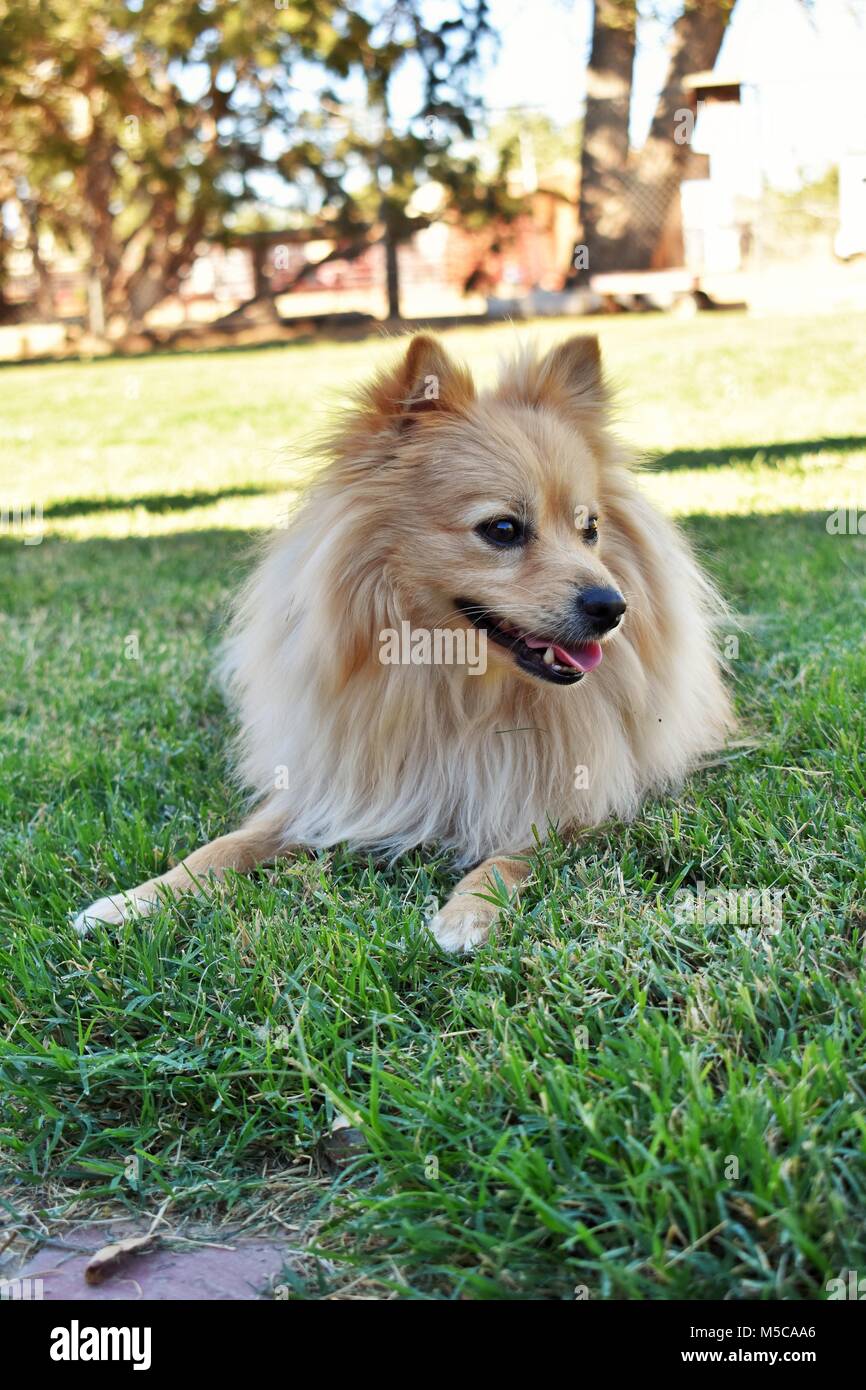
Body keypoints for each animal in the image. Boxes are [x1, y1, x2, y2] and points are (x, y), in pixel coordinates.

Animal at [77, 330, 733, 950]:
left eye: (590, 529)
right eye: (502, 529)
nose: (612, 606)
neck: (461, 688)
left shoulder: (571, 803)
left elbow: (512, 856)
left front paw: (469, 911)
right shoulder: (332, 788)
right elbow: (222, 846)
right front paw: (135, 900)